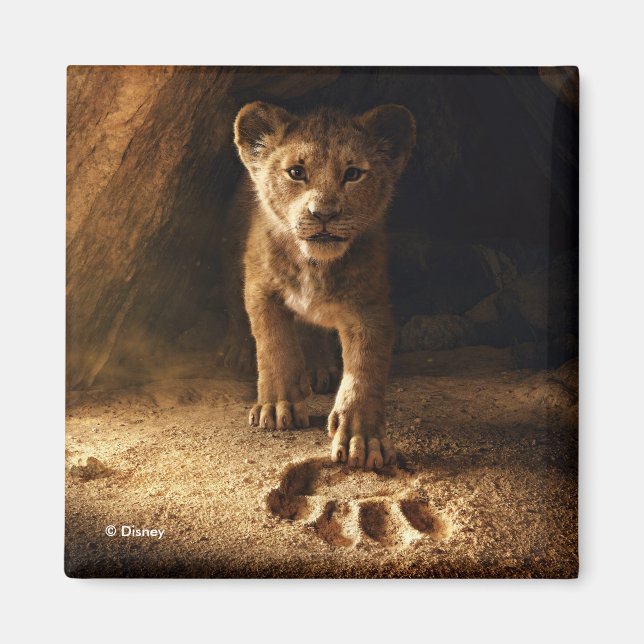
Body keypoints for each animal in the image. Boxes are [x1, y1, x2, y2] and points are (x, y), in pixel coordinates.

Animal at [233, 101, 416, 470]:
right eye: (296, 172)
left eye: (353, 173)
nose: (324, 214)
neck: (314, 265)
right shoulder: (260, 288)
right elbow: (274, 345)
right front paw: (278, 406)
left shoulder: (369, 307)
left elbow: (365, 369)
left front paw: (363, 438)